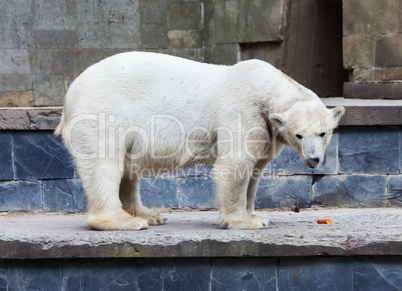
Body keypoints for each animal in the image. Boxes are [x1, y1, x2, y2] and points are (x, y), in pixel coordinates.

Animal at [55, 52, 344, 230]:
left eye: (323, 133)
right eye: (299, 135)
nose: (314, 159)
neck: (264, 89)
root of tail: (70, 94)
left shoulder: (267, 129)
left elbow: (256, 170)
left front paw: (255, 214)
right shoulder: (242, 112)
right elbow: (235, 164)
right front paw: (245, 221)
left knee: (129, 166)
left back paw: (149, 214)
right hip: (103, 113)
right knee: (104, 164)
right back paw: (124, 221)